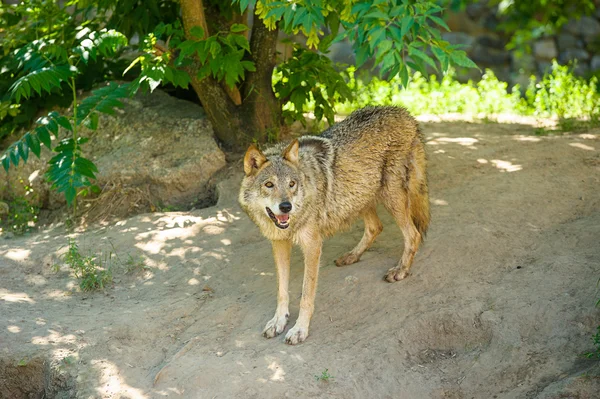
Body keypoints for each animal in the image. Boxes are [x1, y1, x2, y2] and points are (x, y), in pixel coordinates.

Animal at [237, 105, 428, 344]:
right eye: (269, 185)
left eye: (291, 184)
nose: (286, 206)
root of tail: (405, 113)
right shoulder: (279, 244)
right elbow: (282, 290)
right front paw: (278, 321)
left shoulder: (312, 246)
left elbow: (306, 294)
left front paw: (300, 329)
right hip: (359, 195)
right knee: (376, 227)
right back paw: (352, 256)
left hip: (390, 196)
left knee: (413, 234)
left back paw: (400, 270)